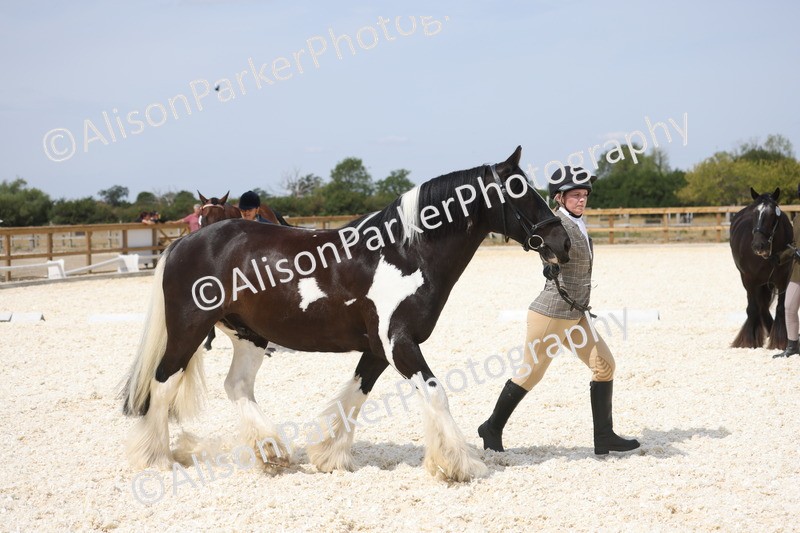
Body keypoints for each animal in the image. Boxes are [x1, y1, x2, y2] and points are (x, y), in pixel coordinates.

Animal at [122, 147, 572, 482]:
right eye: (519, 190)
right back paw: (156, 458)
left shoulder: (379, 350)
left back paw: (272, 451)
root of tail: (185, 243)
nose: (562, 242)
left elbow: (355, 394)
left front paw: (329, 455)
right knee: (162, 383)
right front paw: (459, 464)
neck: (404, 253)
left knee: (237, 386)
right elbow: (434, 392)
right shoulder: (400, 344)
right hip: (189, 330)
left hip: (249, 334)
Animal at [730, 187, 793, 349]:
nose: (758, 245)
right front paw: (749, 341)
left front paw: (780, 341)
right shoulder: (749, 280)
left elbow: (781, 307)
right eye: (754, 213)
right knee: (757, 306)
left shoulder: (783, 279)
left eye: (772, 214)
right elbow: (752, 308)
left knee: (763, 306)